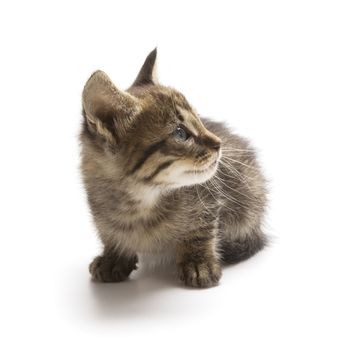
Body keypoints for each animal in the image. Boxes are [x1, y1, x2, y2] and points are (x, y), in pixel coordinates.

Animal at [80, 47, 266, 288]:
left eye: (199, 120)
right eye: (180, 133)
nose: (219, 144)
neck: (140, 200)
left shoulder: (208, 197)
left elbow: (201, 228)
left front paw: (198, 263)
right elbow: (108, 231)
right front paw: (114, 256)